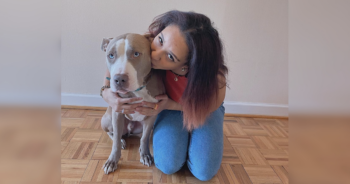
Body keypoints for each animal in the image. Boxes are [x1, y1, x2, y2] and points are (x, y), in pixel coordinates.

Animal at [100, 33, 165, 174]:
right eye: (111, 55)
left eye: (136, 54)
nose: (119, 79)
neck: (137, 91)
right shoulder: (117, 111)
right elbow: (115, 142)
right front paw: (112, 161)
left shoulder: (152, 114)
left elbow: (145, 137)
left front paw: (145, 154)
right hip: (107, 119)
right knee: (113, 133)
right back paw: (122, 140)